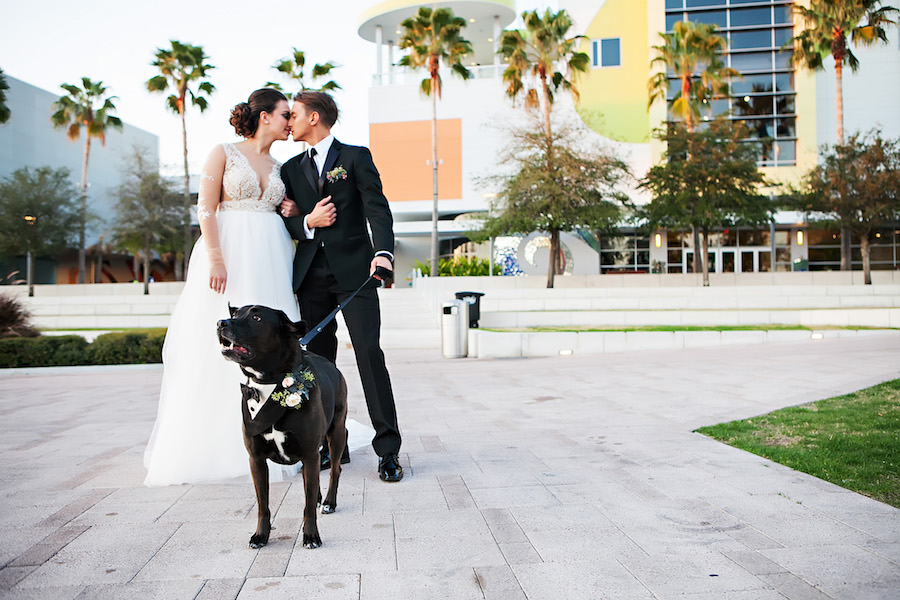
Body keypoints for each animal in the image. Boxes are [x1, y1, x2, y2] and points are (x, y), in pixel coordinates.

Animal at [214, 304, 348, 548]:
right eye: (235, 314)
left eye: (256, 318)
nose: (221, 323)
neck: (269, 384)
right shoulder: (256, 459)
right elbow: (263, 505)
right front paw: (261, 535)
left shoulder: (309, 452)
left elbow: (307, 505)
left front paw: (311, 536)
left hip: (337, 434)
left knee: (335, 469)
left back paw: (329, 502)